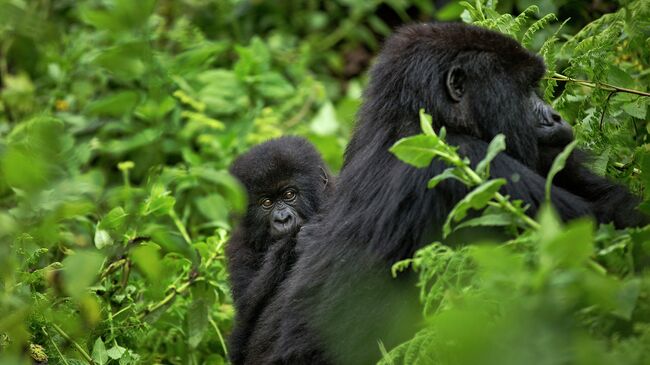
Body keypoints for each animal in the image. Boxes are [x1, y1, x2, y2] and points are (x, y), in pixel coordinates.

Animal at [224, 136, 334, 364]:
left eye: (289, 194)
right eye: (267, 202)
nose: (283, 219)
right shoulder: (238, 246)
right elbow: (246, 308)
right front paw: (292, 241)